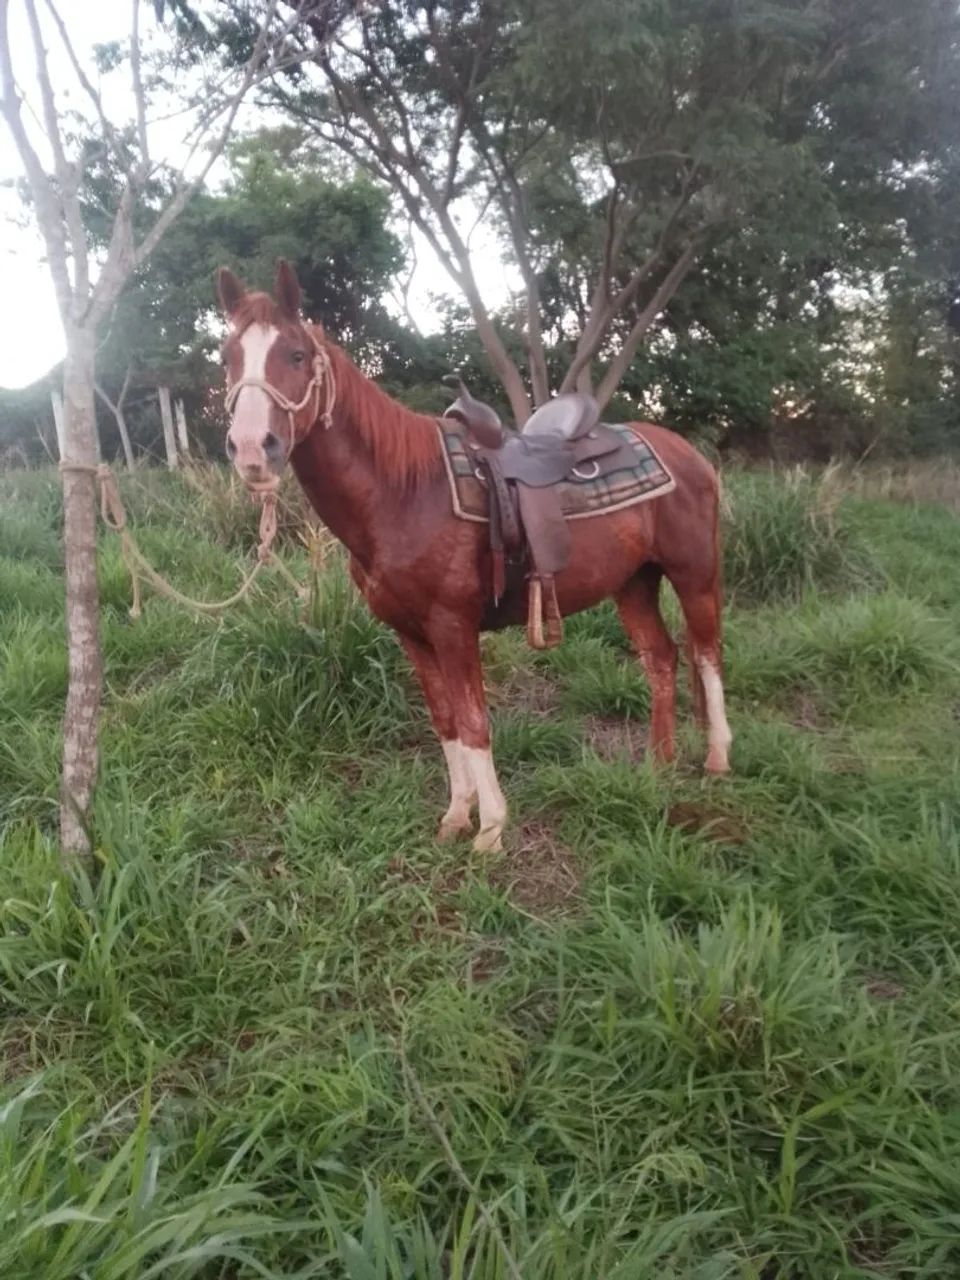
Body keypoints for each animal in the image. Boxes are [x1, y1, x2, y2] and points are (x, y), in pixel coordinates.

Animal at [217, 260, 731, 853]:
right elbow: (445, 720)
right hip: (633, 582)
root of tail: (684, 451)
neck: (405, 493)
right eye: (229, 358)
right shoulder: (411, 633)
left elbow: (474, 720)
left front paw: (490, 831)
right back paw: (658, 763)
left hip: (694, 573)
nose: (252, 448)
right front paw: (456, 817)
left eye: (297, 355)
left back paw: (718, 758)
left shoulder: (452, 625)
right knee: (661, 658)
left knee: (707, 654)